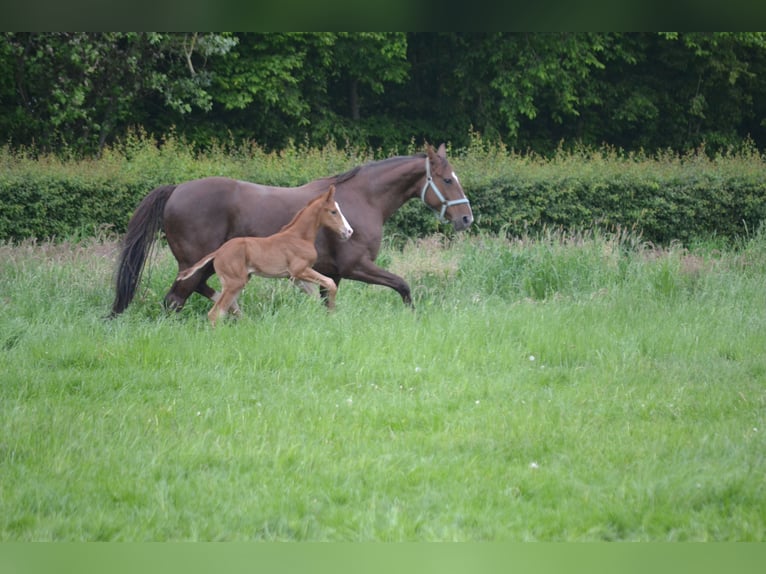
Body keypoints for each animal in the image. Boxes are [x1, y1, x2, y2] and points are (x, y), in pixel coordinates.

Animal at [177, 187, 354, 326]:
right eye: (333, 211)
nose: (349, 231)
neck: (299, 237)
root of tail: (218, 251)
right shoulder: (300, 270)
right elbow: (330, 283)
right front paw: (332, 314)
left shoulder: (296, 277)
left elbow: (315, 297)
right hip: (234, 282)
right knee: (216, 313)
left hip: (237, 282)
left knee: (226, 308)